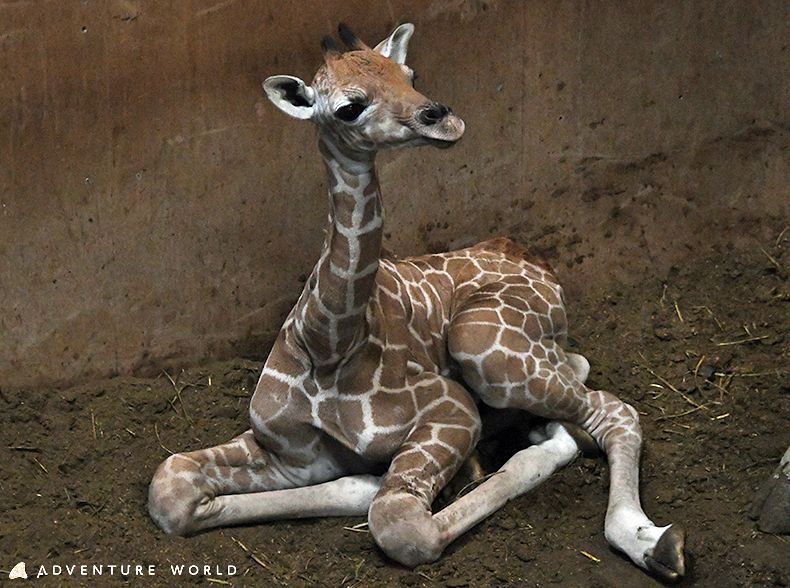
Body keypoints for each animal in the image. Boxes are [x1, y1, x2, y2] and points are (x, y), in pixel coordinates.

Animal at [148, 21, 688, 580]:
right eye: (349, 107)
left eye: (410, 74)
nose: (443, 118)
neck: (328, 341)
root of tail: (527, 255)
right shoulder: (291, 455)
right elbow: (169, 484)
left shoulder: (452, 410)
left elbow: (401, 524)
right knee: (580, 375)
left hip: (482, 344)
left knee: (612, 411)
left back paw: (649, 540)